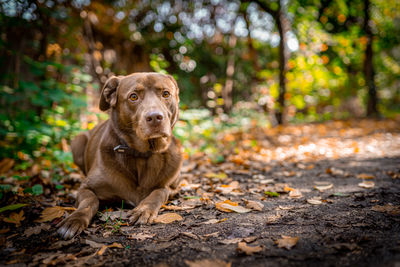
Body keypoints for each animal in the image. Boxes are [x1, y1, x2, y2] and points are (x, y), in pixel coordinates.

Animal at [57, 72, 183, 240]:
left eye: (166, 94)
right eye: (133, 96)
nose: (155, 117)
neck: (140, 154)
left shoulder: (169, 186)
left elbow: (159, 192)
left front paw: (143, 210)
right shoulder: (86, 188)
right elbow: (90, 201)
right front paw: (74, 220)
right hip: (78, 141)